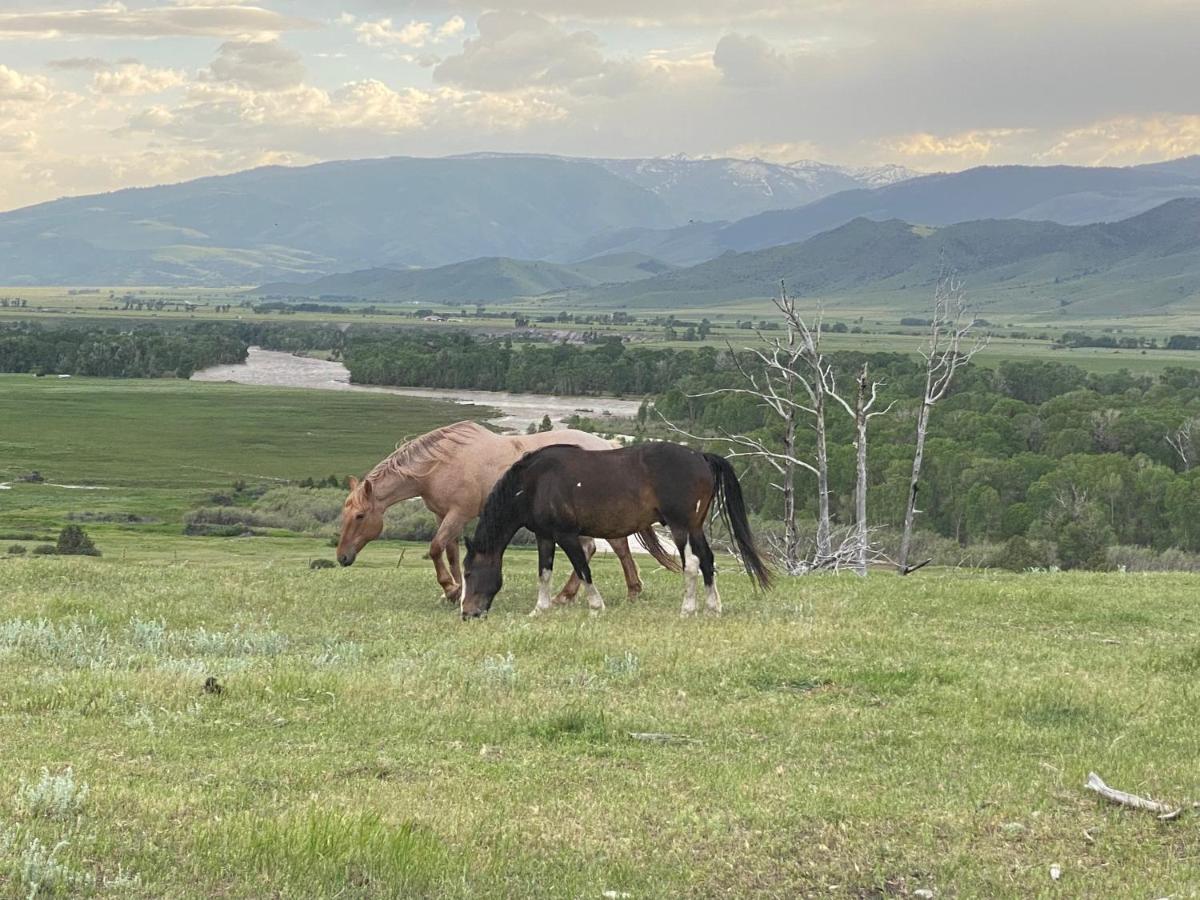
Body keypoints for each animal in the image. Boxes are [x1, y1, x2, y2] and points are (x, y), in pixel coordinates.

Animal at [333, 422, 662, 607]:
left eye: (360, 516)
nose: (342, 558)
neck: (440, 463)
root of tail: (607, 444)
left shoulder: (458, 513)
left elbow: (436, 548)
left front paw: (450, 588)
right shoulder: (444, 516)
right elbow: (451, 552)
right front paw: (456, 591)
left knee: (611, 547)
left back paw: (626, 592)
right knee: (598, 547)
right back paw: (572, 595)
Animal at [458, 441, 768, 619]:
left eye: (469, 573)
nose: (467, 613)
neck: (534, 482)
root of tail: (700, 456)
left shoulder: (566, 535)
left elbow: (583, 569)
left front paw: (596, 607)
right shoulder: (544, 535)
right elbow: (544, 572)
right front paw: (539, 609)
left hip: (681, 527)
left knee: (691, 564)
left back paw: (687, 610)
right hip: (695, 527)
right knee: (706, 560)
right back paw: (713, 607)